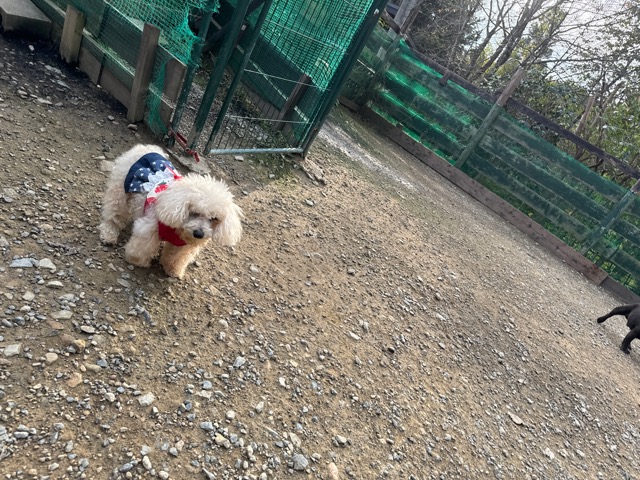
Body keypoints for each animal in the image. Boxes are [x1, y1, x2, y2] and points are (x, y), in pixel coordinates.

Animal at [98, 144, 243, 279]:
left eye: (214, 218)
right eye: (194, 212)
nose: (199, 234)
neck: (179, 230)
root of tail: (145, 147)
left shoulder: (184, 246)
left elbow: (176, 258)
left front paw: (172, 270)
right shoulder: (149, 228)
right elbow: (143, 247)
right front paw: (136, 260)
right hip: (119, 193)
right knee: (113, 215)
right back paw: (109, 235)